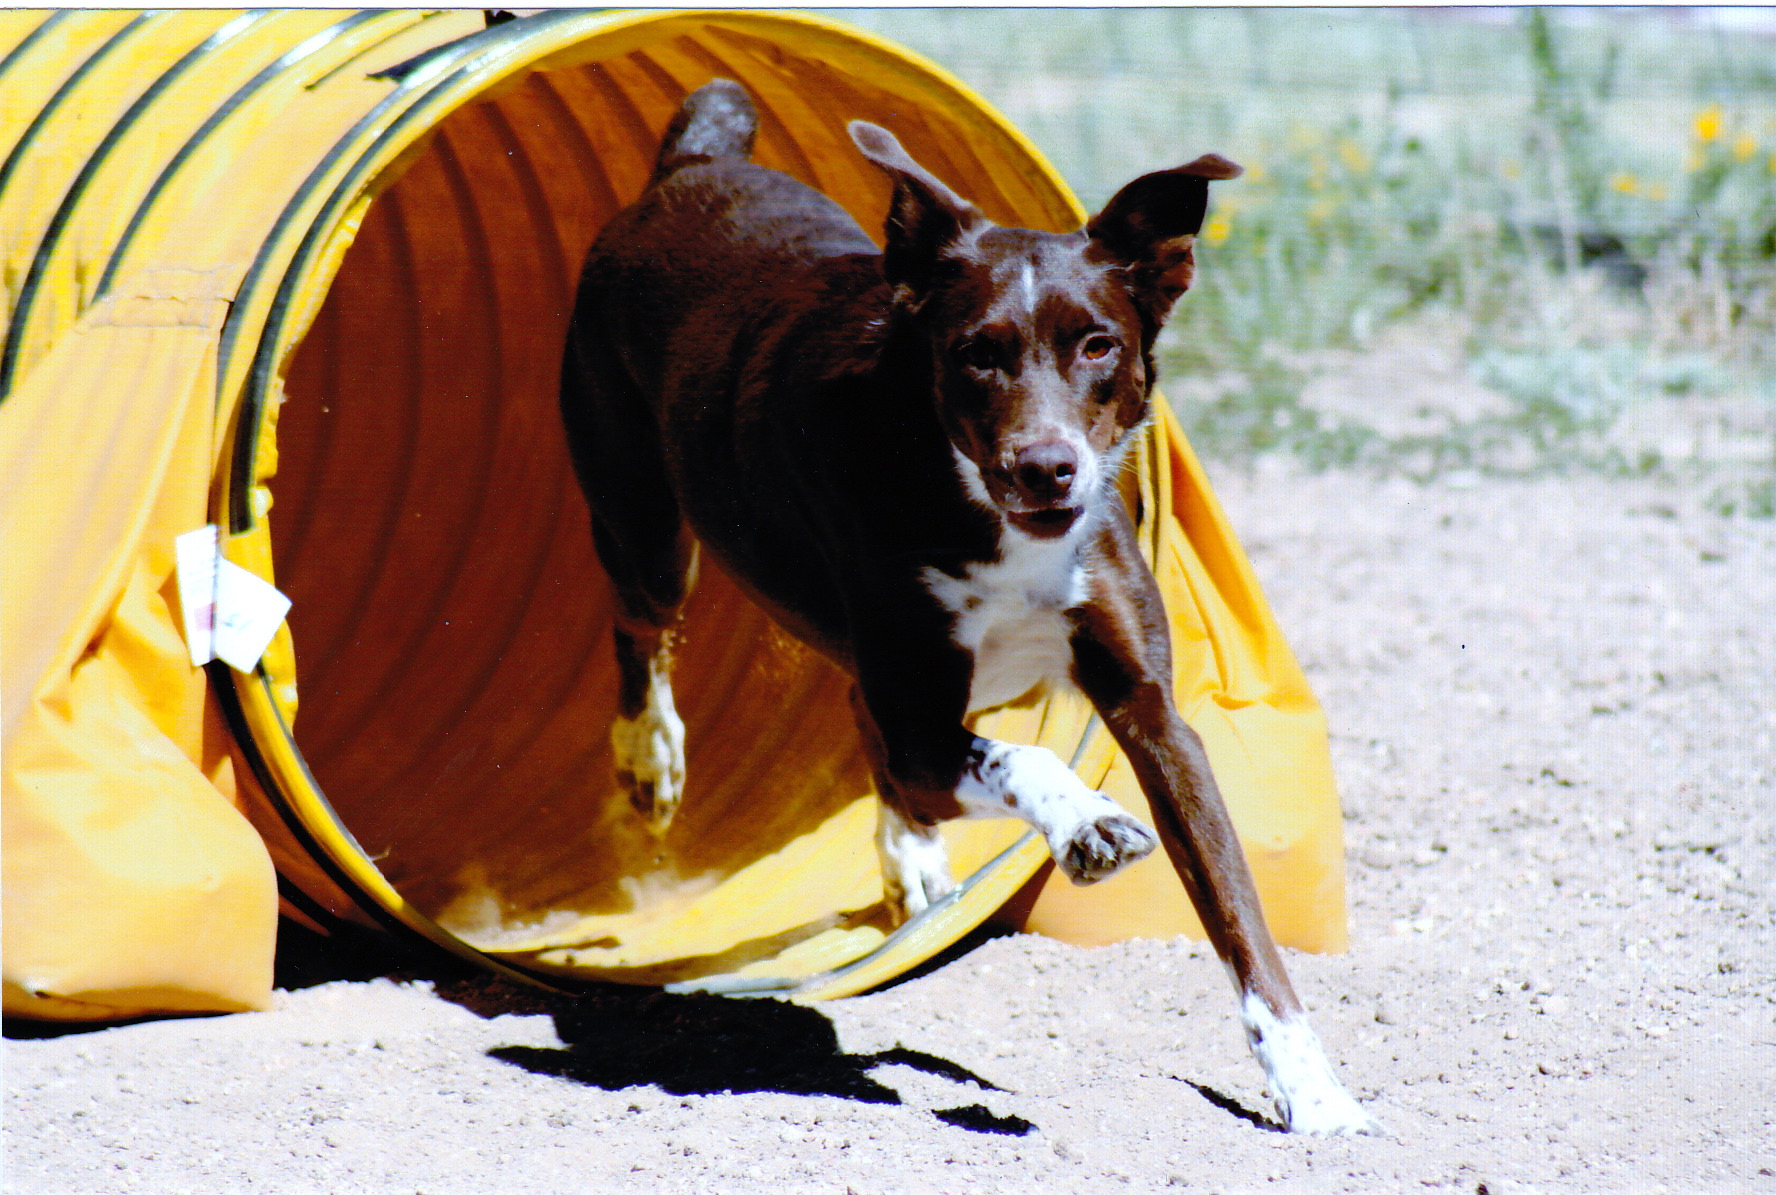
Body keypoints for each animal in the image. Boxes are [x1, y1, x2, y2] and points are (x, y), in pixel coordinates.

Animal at [561, 79, 1378, 1129]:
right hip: (645, 519)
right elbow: (1016, 755)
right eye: (976, 354)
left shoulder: (1153, 715)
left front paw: (1315, 1093)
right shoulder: (922, 719)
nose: (1046, 466)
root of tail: (691, 164)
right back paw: (650, 758)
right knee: (641, 626)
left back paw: (910, 856)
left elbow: (1243, 918)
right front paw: (1086, 823)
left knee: (853, 710)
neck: (989, 521)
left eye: (1098, 344)